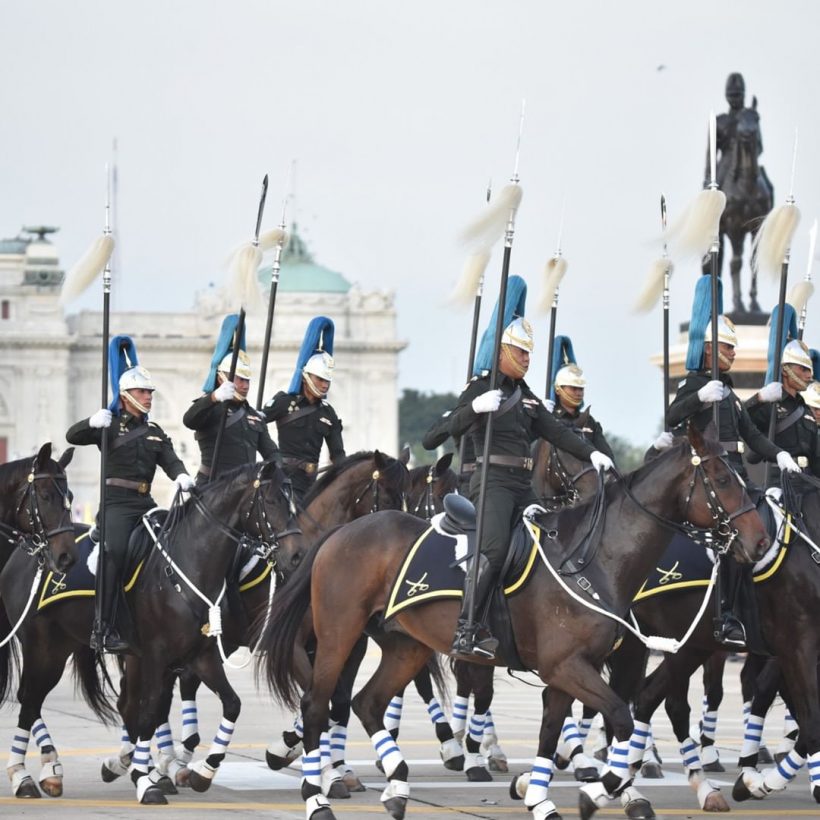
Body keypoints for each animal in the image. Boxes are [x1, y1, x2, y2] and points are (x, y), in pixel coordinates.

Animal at [0, 458, 302, 804]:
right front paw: (147, 779)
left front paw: (201, 771)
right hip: (42, 647)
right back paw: (27, 774)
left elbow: (232, 704)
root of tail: (28, 551)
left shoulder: (201, 655)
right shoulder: (158, 655)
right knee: (29, 700)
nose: (296, 554)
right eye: (272, 501)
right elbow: (150, 712)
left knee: (41, 700)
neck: (190, 564)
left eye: (293, 501)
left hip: (67, 647)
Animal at [258, 422, 768, 820]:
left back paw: (398, 785)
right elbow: (621, 718)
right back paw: (318, 796)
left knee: (367, 702)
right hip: (340, 636)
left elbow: (553, 731)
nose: (760, 541)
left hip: (406, 646)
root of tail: (338, 534)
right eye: (721, 478)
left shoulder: (569, 673)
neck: (593, 557)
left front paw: (542, 794)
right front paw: (598, 790)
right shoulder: (568, 667)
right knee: (318, 704)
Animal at [708, 97, 772, 314]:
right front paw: (738, 304)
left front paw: (754, 304)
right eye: (738, 122)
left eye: (757, 117)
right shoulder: (734, 228)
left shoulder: (757, 227)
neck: (746, 185)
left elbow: (753, 262)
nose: (747, 133)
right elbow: (735, 263)